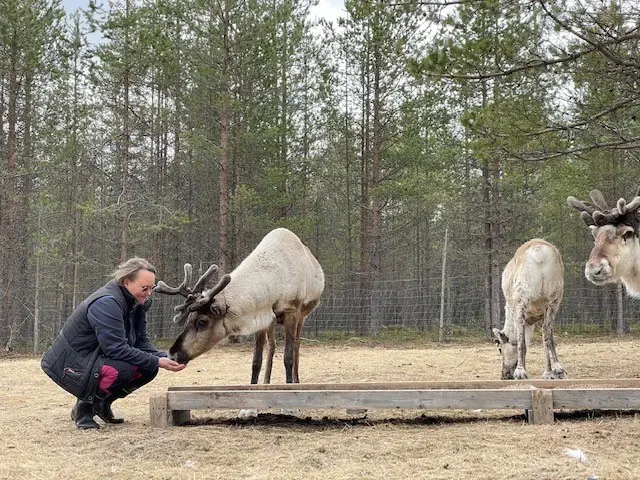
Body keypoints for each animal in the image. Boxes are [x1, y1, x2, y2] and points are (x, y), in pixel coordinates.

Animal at [155, 228, 325, 392]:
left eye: (202, 322)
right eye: (188, 319)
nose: (173, 354)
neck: (275, 284)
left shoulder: (292, 312)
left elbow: (287, 358)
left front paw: (289, 387)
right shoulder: (261, 317)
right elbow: (256, 361)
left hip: (302, 316)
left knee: (296, 344)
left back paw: (296, 379)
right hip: (273, 322)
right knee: (272, 345)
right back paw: (267, 381)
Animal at [492, 239, 567, 380]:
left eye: (499, 349)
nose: (504, 375)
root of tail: (539, 251)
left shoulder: (525, 319)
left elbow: (523, 344)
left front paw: (523, 370)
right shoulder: (540, 316)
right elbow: (549, 339)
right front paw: (554, 369)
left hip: (522, 298)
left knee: (523, 339)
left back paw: (520, 372)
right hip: (554, 298)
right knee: (546, 332)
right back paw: (552, 371)